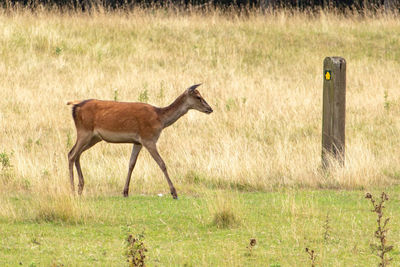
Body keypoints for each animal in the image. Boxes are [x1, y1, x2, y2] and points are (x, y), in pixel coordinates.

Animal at [67, 84, 212, 199]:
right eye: (198, 97)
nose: (210, 109)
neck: (160, 119)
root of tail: (75, 106)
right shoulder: (149, 139)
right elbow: (162, 163)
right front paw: (174, 193)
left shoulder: (138, 142)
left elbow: (131, 164)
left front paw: (125, 192)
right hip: (84, 132)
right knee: (71, 154)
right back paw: (72, 190)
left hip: (94, 138)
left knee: (77, 154)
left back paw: (80, 187)